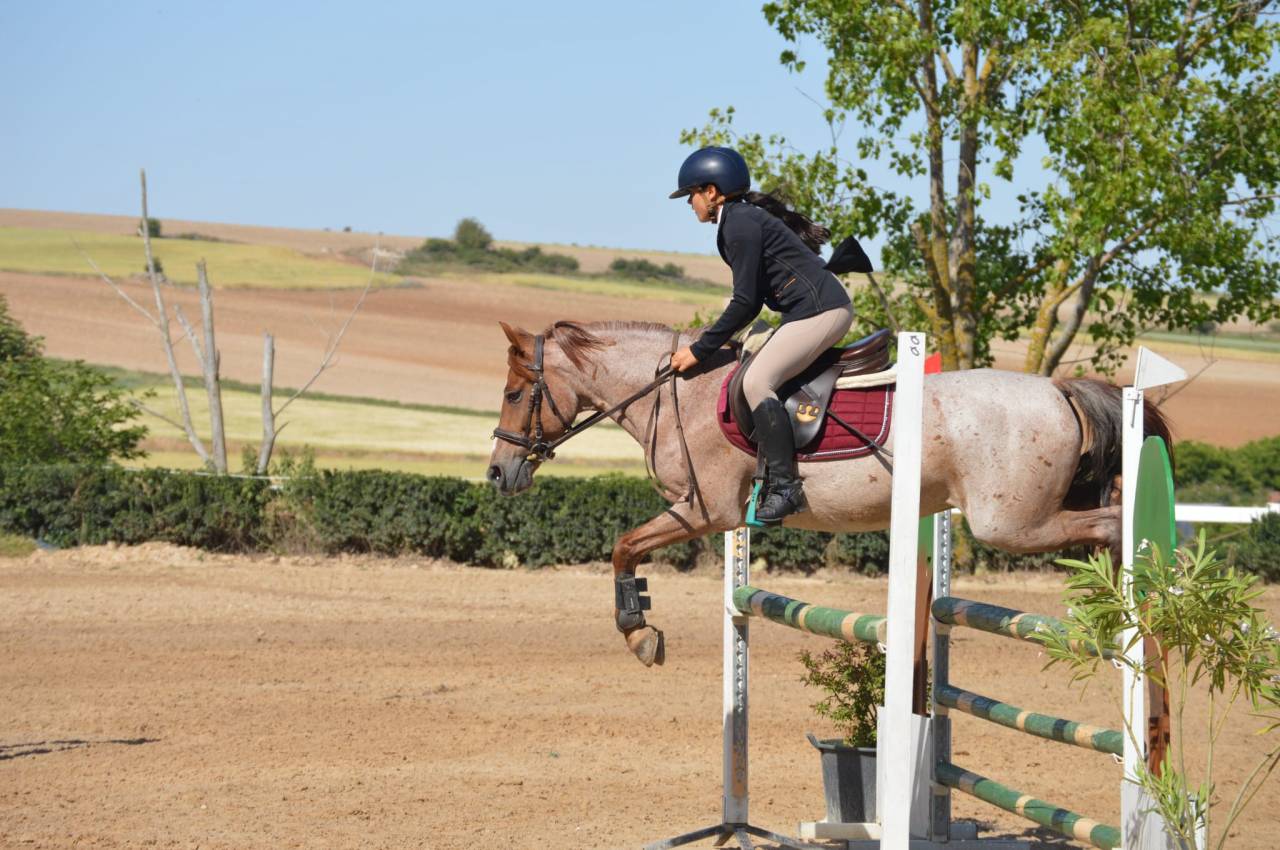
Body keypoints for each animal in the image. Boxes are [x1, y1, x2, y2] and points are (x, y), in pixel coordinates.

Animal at [485, 320, 1172, 667]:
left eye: (516, 393)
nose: (498, 473)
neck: (677, 390)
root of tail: (1058, 389)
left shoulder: (706, 511)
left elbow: (624, 547)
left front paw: (639, 633)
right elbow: (627, 548)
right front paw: (641, 629)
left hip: (1009, 523)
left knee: (1112, 523)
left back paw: (1120, 612)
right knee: (1105, 514)